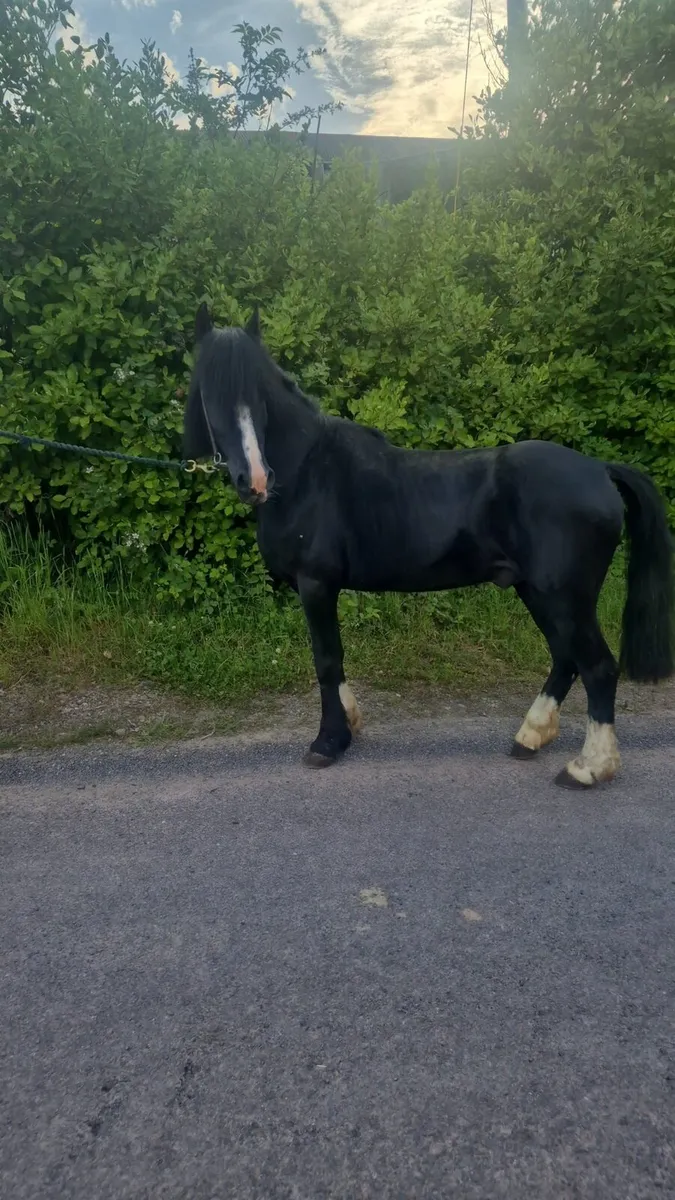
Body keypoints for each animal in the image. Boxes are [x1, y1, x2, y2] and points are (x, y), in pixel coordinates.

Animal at [183, 304, 674, 788]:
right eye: (209, 391)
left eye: (258, 392)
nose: (254, 480)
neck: (307, 472)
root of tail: (599, 469)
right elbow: (335, 660)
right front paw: (349, 724)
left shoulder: (316, 584)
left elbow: (326, 659)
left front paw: (328, 742)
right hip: (538, 592)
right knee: (566, 659)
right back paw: (531, 736)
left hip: (564, 597)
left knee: (598, 668)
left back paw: (588, 767)